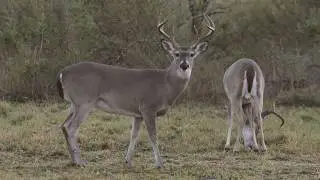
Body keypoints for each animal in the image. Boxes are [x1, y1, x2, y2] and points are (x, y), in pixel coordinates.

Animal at [55, 15, 215, 167]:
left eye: (192, 54)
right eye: (176, 54)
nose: (184, 65)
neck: (165, 85)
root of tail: (63, 72)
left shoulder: (137, 113)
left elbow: (134, 135)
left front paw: (128, 161)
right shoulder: (148, 107)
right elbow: (153, 135)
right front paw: (159, 163)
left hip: (74, 104)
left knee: (63, 126)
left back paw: (74, 160)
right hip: (84, 101)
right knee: (71, 127)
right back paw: (80, 161)